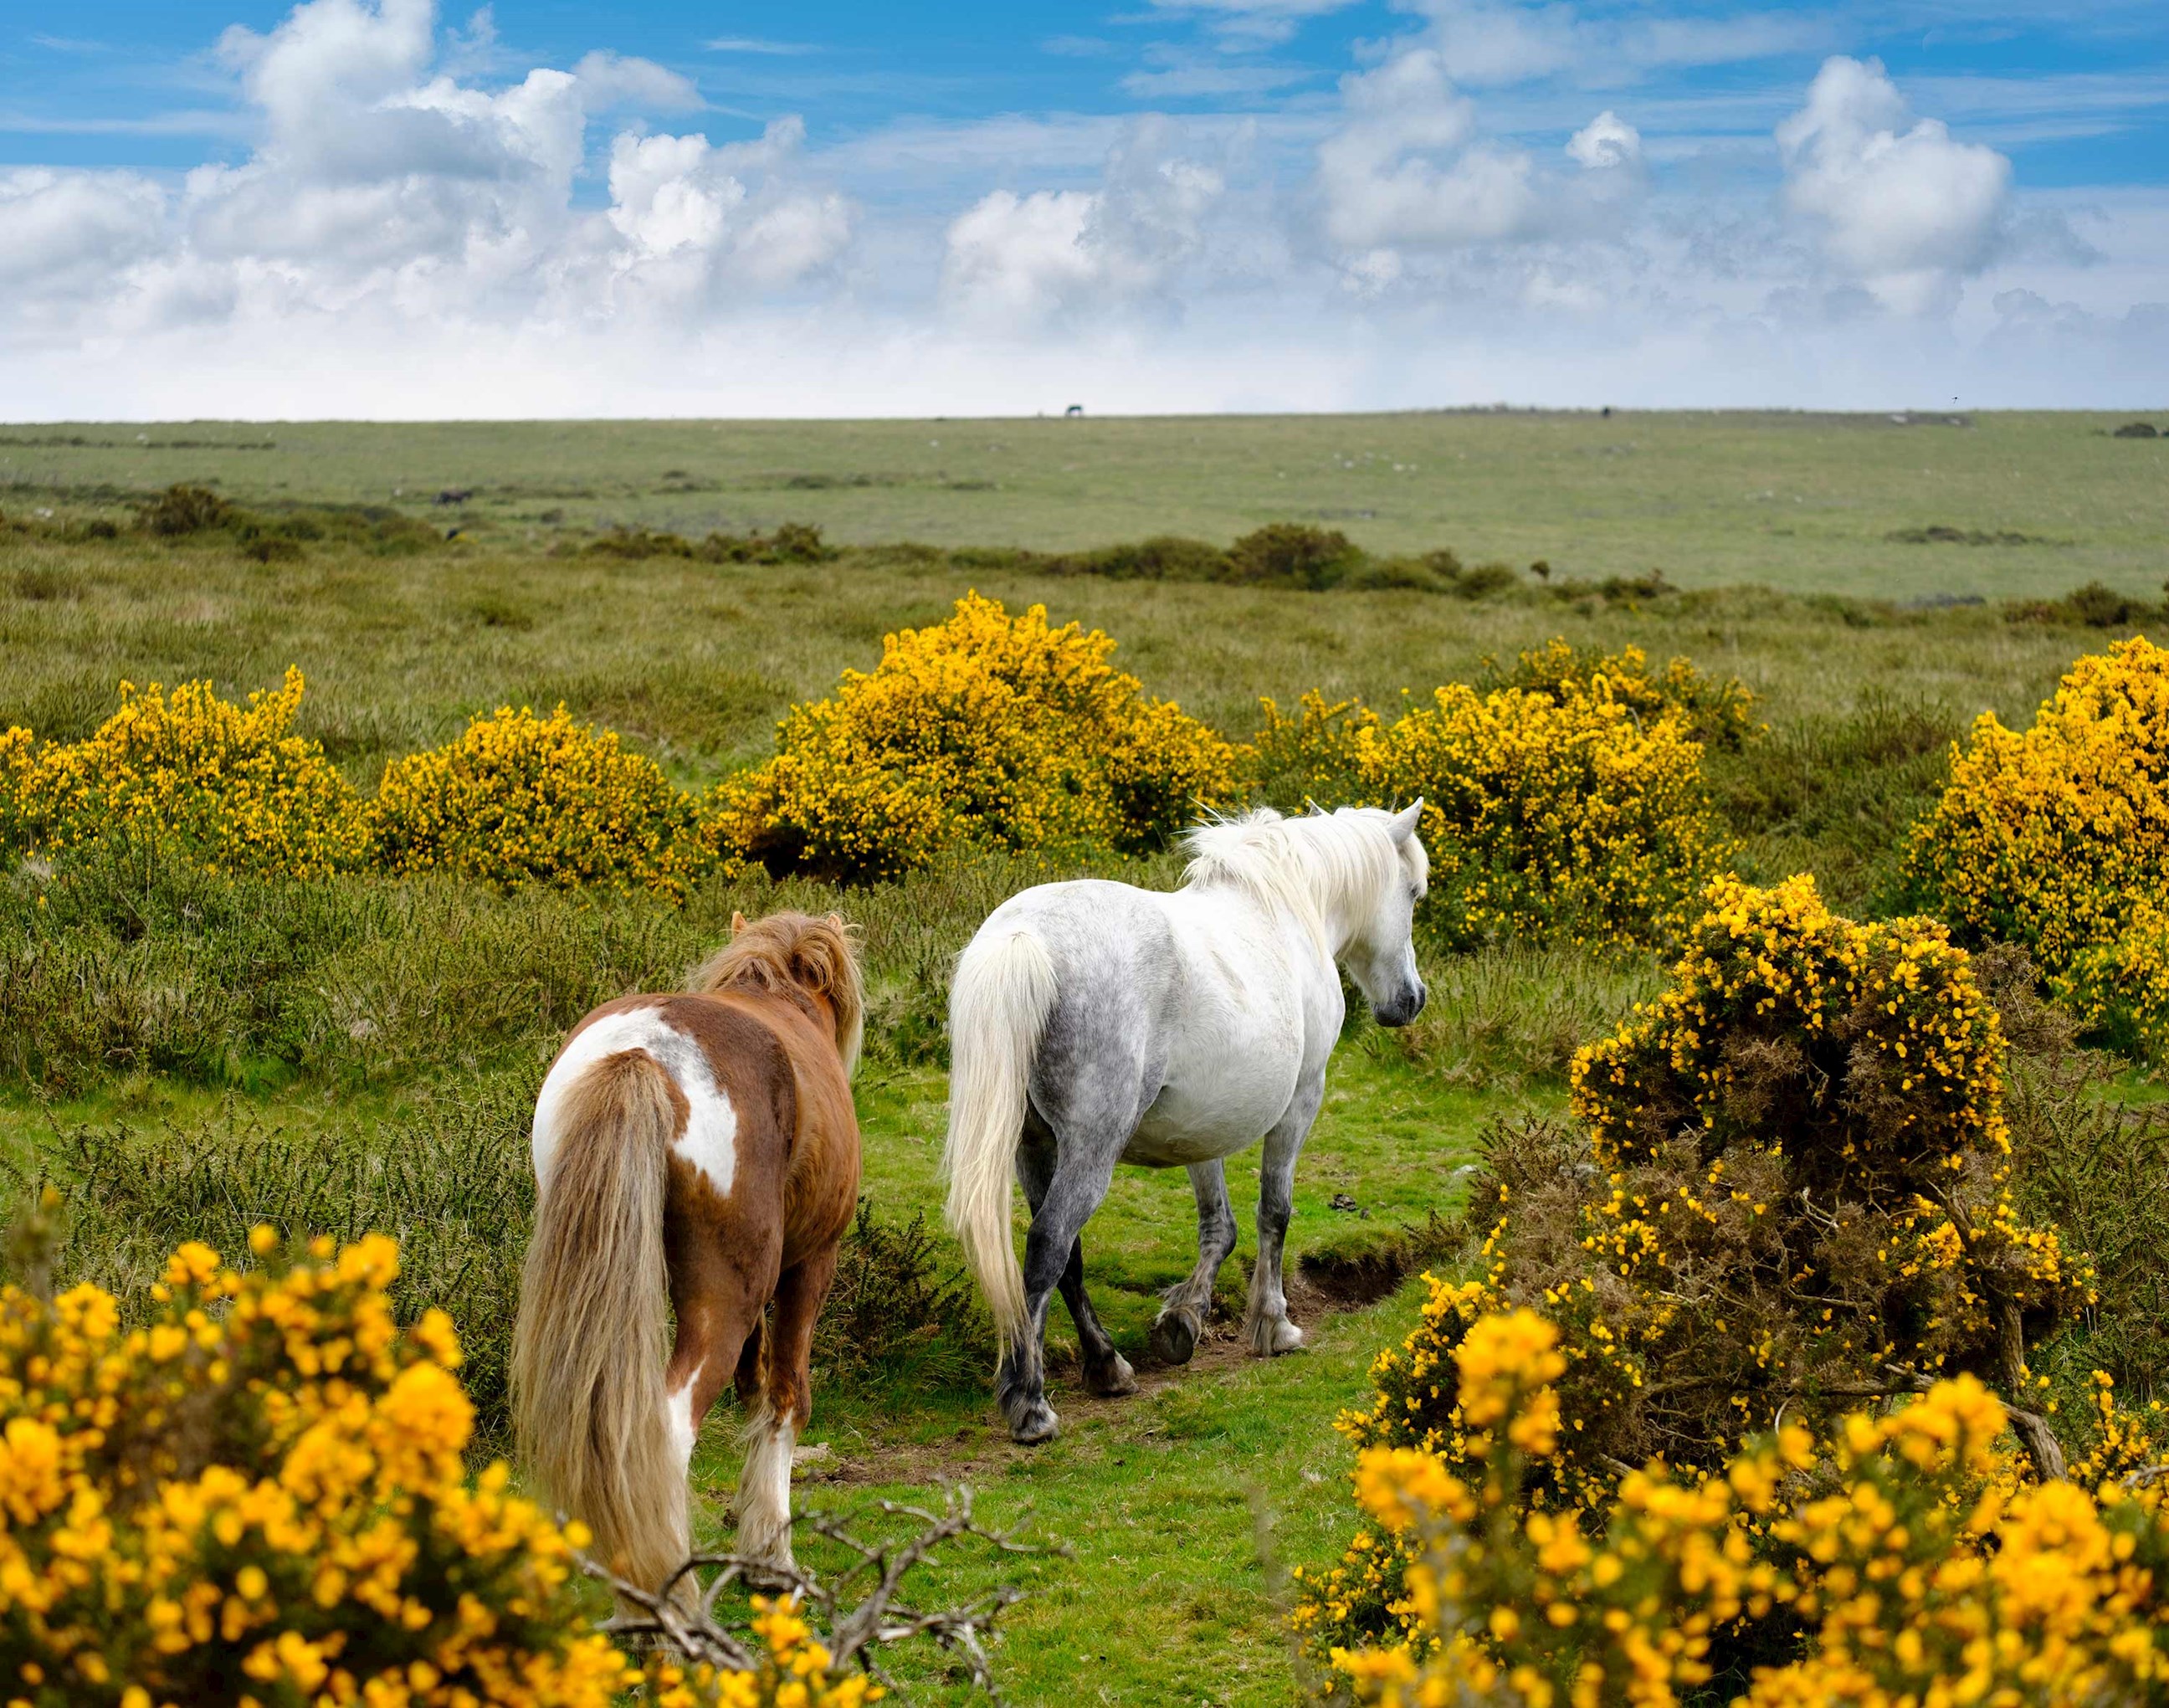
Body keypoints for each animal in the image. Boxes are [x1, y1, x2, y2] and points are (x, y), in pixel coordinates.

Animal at [511, 909, 864, 1593]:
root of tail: (640, 1054)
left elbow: (756, 1386)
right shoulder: (811, 1264)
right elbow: (787, 1395)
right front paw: (773, 1557)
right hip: (722, 1301)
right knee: (668, 1433)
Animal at [942, 803, 1428, 1444]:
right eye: (1414, 894)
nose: (1412, 1000)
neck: (1286, 908)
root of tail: (1025, 937)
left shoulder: (1203, 1126)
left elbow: (1219, 1226)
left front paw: (1184, 1318)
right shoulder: (1303, 1099)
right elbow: (1275, 1213)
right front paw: (1274, 1325)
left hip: (1032, 1147)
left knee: (1067, 1257)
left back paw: (1108, 1366)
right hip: (1090, 1150)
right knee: (1049, 1244)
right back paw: (1031, 1404)